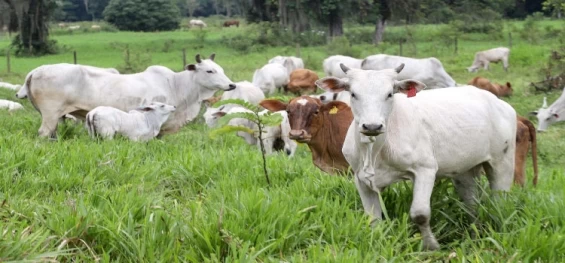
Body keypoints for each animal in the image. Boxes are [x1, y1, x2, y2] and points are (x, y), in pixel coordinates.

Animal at [23, 54, 235, 139]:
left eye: (221, 69)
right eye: (209, 71)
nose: (231, 85)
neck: (176, 85)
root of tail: (36, 70)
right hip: (50, 115)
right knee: (43, 133)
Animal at [318, 63, 516, 252]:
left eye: (389, 94)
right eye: (353, 93)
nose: (372, 126)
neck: (375, 151)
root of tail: (500, 103)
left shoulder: (425, 169)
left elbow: (420, 214)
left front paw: (431, 246)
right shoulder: (361, 179)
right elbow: (373, 218)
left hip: (502, 163)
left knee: (499, 202)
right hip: (464, 171)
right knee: (472, 204)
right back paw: (475, 233)